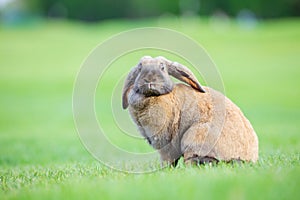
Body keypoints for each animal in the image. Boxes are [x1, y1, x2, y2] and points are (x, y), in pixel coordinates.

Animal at [122, 55, 258, 166]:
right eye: (140, 68)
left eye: (163, 67)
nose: (149, 80)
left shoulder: (165, 143)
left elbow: (168, 160)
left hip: (193, 139)